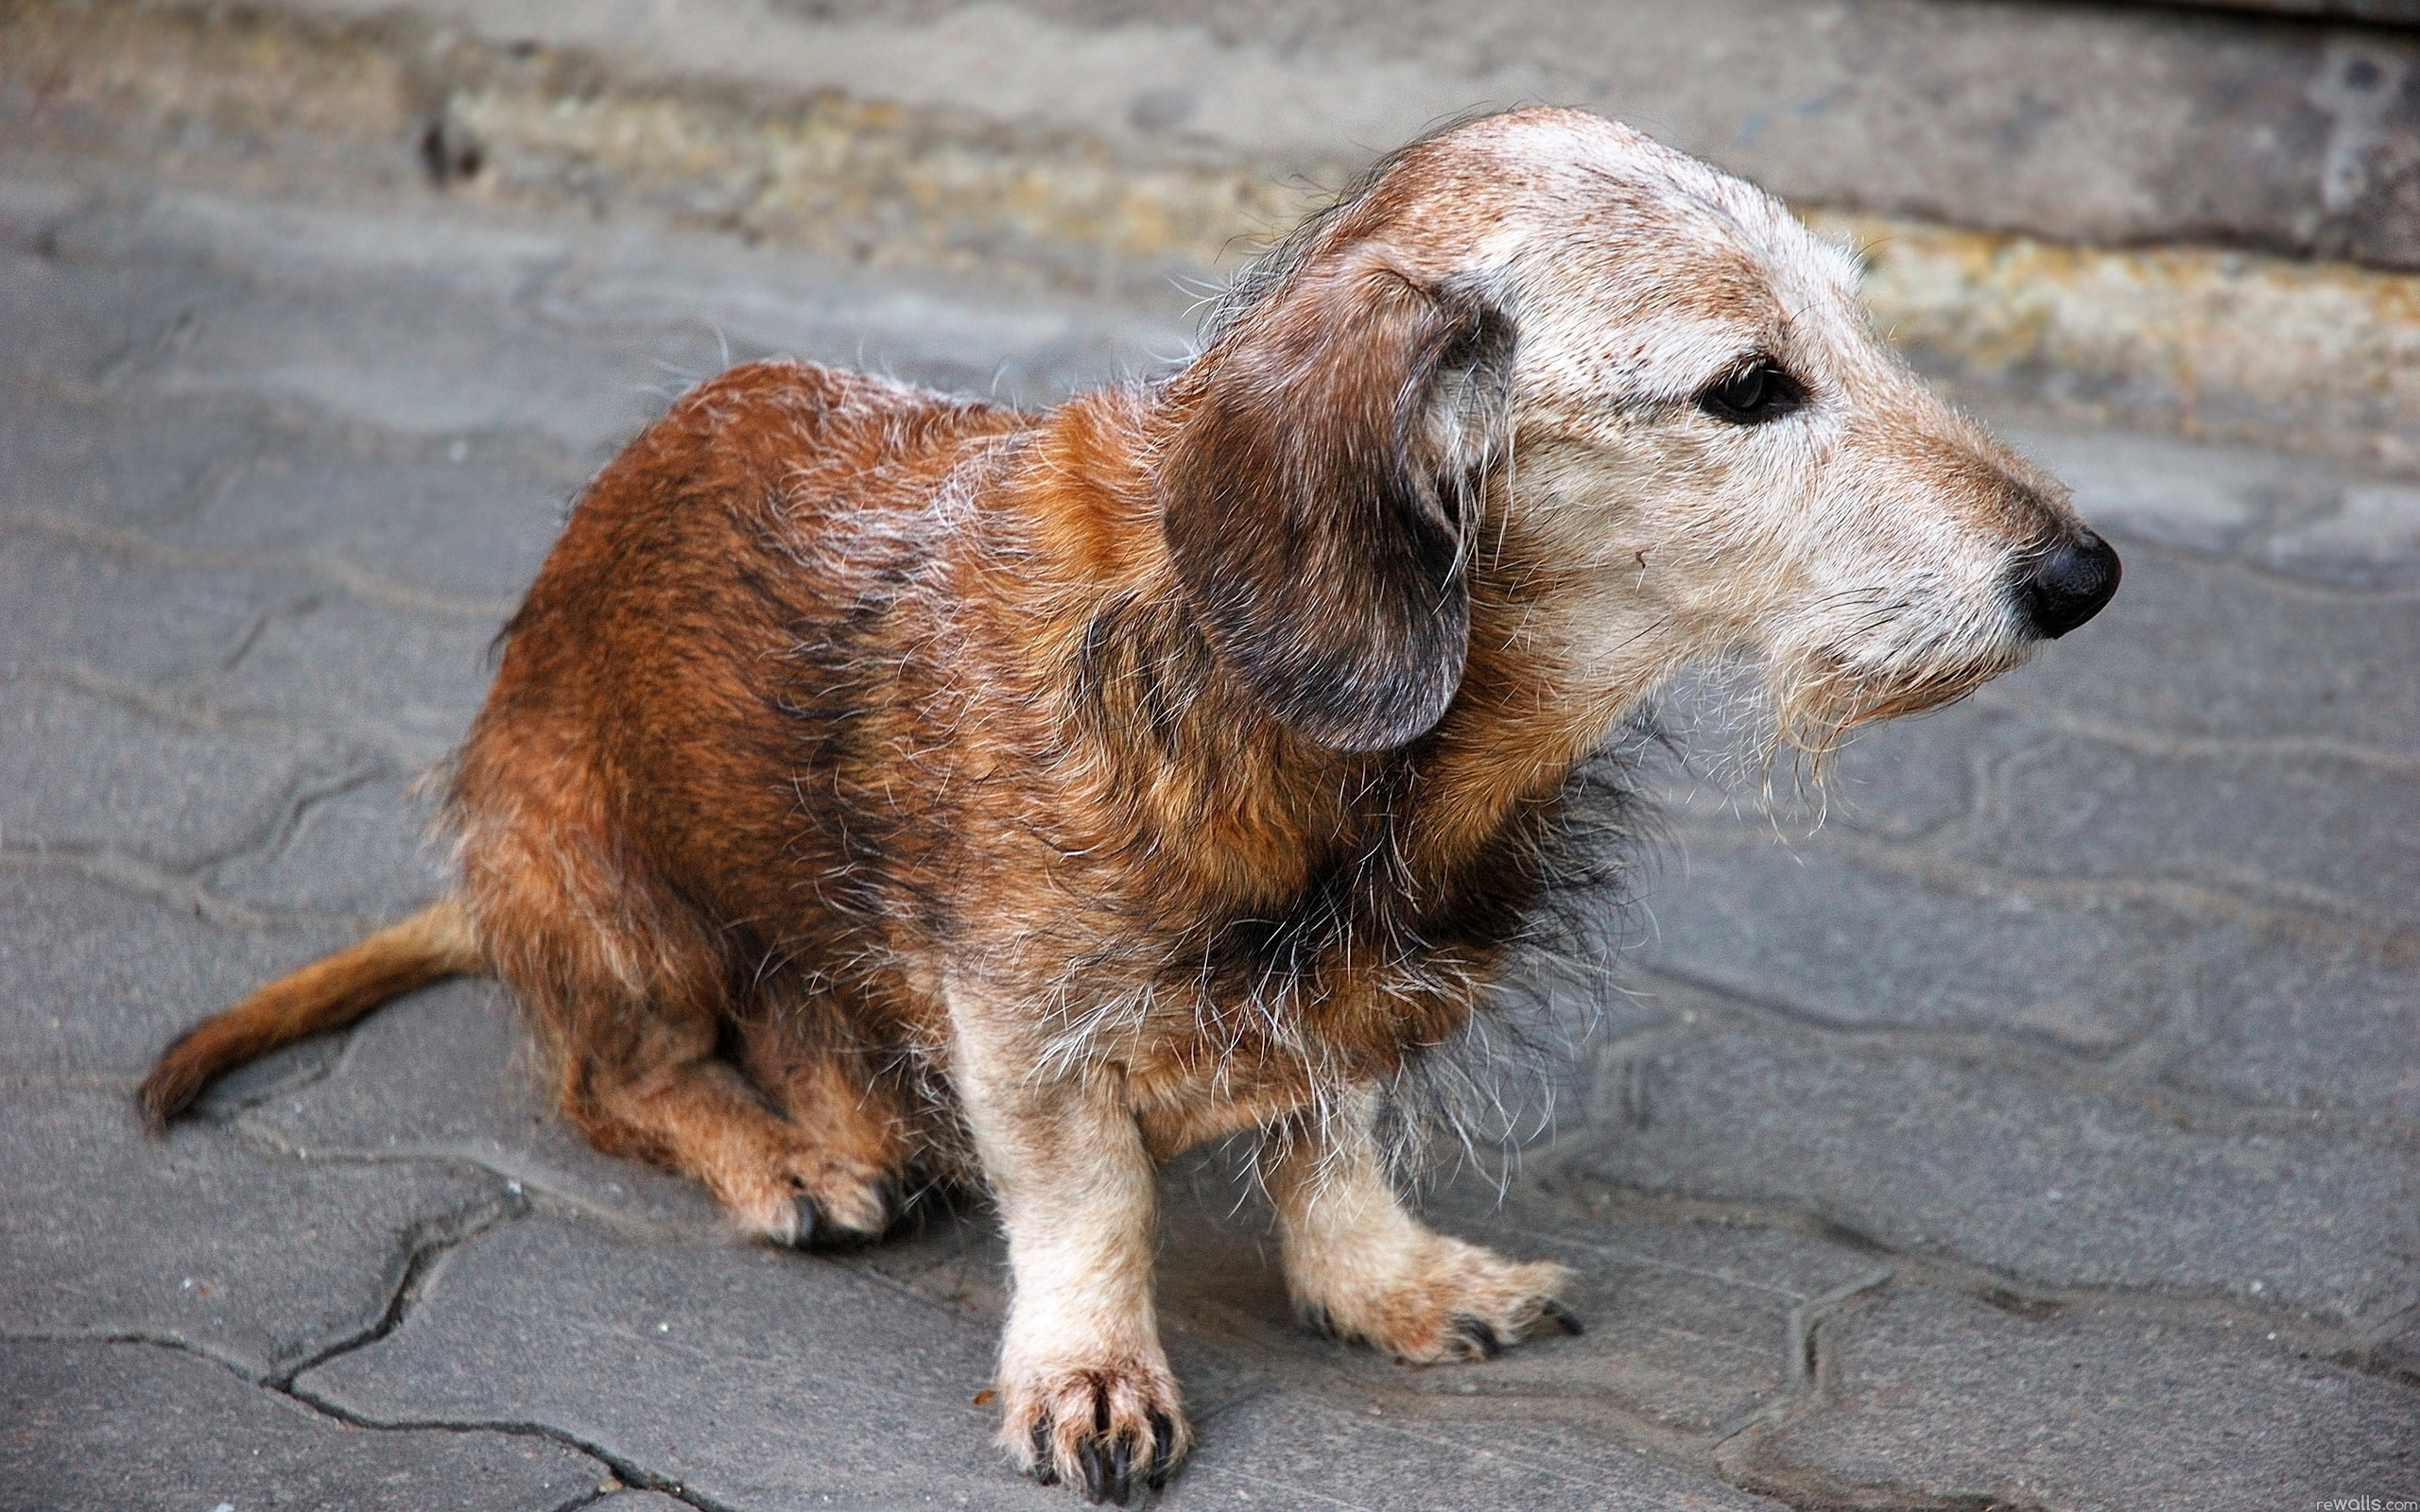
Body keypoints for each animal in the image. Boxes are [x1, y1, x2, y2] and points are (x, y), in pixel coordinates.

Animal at [146, 106, 2119, 1500]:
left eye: (1857, 326)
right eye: (1748, 387)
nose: (2084, 575)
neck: (1303, 729)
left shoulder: (1336, 1017)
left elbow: (1332, 1144)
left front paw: (1395, 1280)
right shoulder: (1023, 1022)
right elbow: (1086, 1197)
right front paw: (1092, 1372)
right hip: (611, 897)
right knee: (617, 1081)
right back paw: (786, 1154)